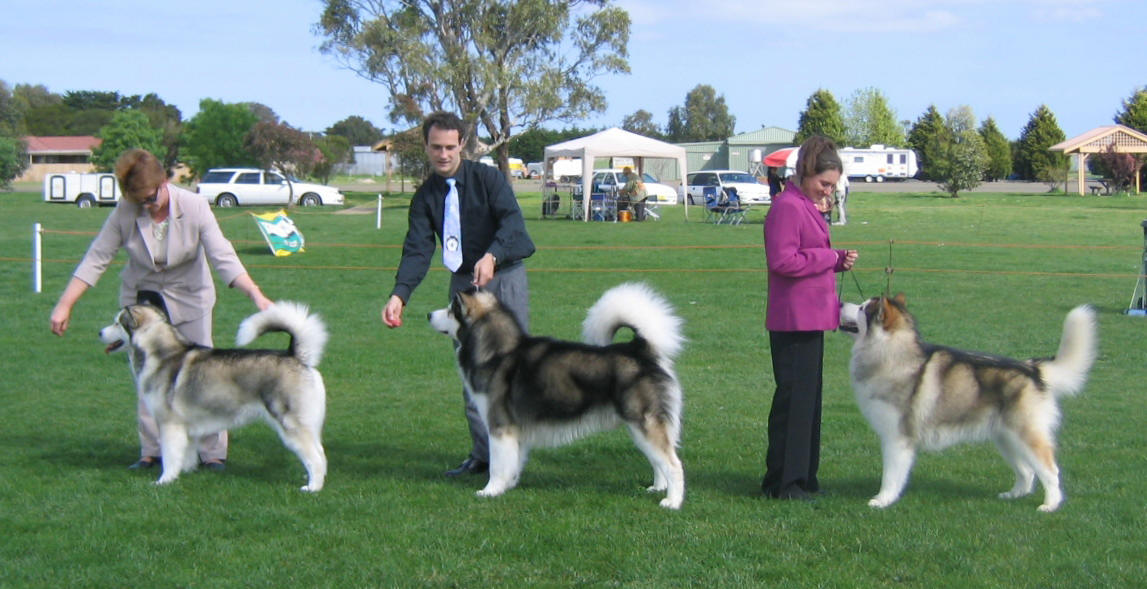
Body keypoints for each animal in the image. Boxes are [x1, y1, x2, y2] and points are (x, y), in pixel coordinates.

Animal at [100, 300, 330, 488]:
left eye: (117, 323)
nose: (100, 333)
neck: (161, 355)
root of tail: (296, 356)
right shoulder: (187, 428)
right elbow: (186, 455)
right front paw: (185, 473)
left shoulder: (169, 424)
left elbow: (170, 456)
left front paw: (164, 480)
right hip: (308, 424)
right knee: (320, 452)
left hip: (291, 424)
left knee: (315, 457)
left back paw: (313, 487)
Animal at [426, 281, 683, 506]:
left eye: (450, 309)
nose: (428, 314)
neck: (498, 352)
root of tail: (639, 349)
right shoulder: (517, 430)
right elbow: (513, 463)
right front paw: (509, 486)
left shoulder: (500, 426)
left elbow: (497, 465)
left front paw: (490, 491)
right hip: (638, 426)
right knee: (658, 461)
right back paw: (657, 487)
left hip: (644, 423)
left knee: (673, 464)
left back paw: (672, 501)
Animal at [839, 293, 1096, 508]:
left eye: (862, 308)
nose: (840, 303)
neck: (893, 354)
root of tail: (1032, 368)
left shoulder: (897, 438)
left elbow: (890, 476)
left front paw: (882, 500)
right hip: (1006, 438)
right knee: (1027, 471)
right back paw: (1014, 495)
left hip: (1026, 435)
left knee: (1051, 471)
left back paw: (1050, 505)